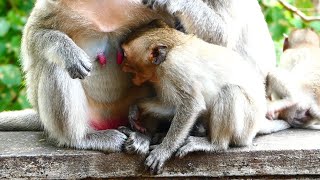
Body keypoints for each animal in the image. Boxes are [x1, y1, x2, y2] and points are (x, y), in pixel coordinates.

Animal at [120, 20, 290, 174]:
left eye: (125, 56)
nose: (122, 66)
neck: (172, 50)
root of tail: (258, 123)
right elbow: (171, 106)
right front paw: (136, 107)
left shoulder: (174, 68)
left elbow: (191, 104)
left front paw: (164, 151)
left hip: (246, 126)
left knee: (230, 92)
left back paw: (214, 144)